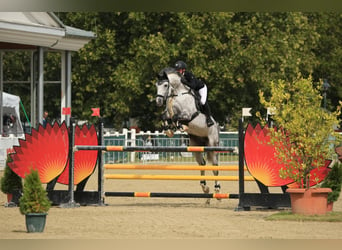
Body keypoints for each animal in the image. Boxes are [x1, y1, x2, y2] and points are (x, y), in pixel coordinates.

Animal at [156, 67, 220, 203]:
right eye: (156, 85)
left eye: (165, 85)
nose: (158, 101)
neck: (177, 93)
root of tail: (217, 127)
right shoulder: (168, 112)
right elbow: (165, 116)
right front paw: (169, 129)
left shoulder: (188, 114)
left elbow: (177, 117)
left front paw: (179, 126)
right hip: (196, 146)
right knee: (202, 164)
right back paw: (205, 189)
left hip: (213, 144)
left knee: (215, 166)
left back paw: (217, 191)